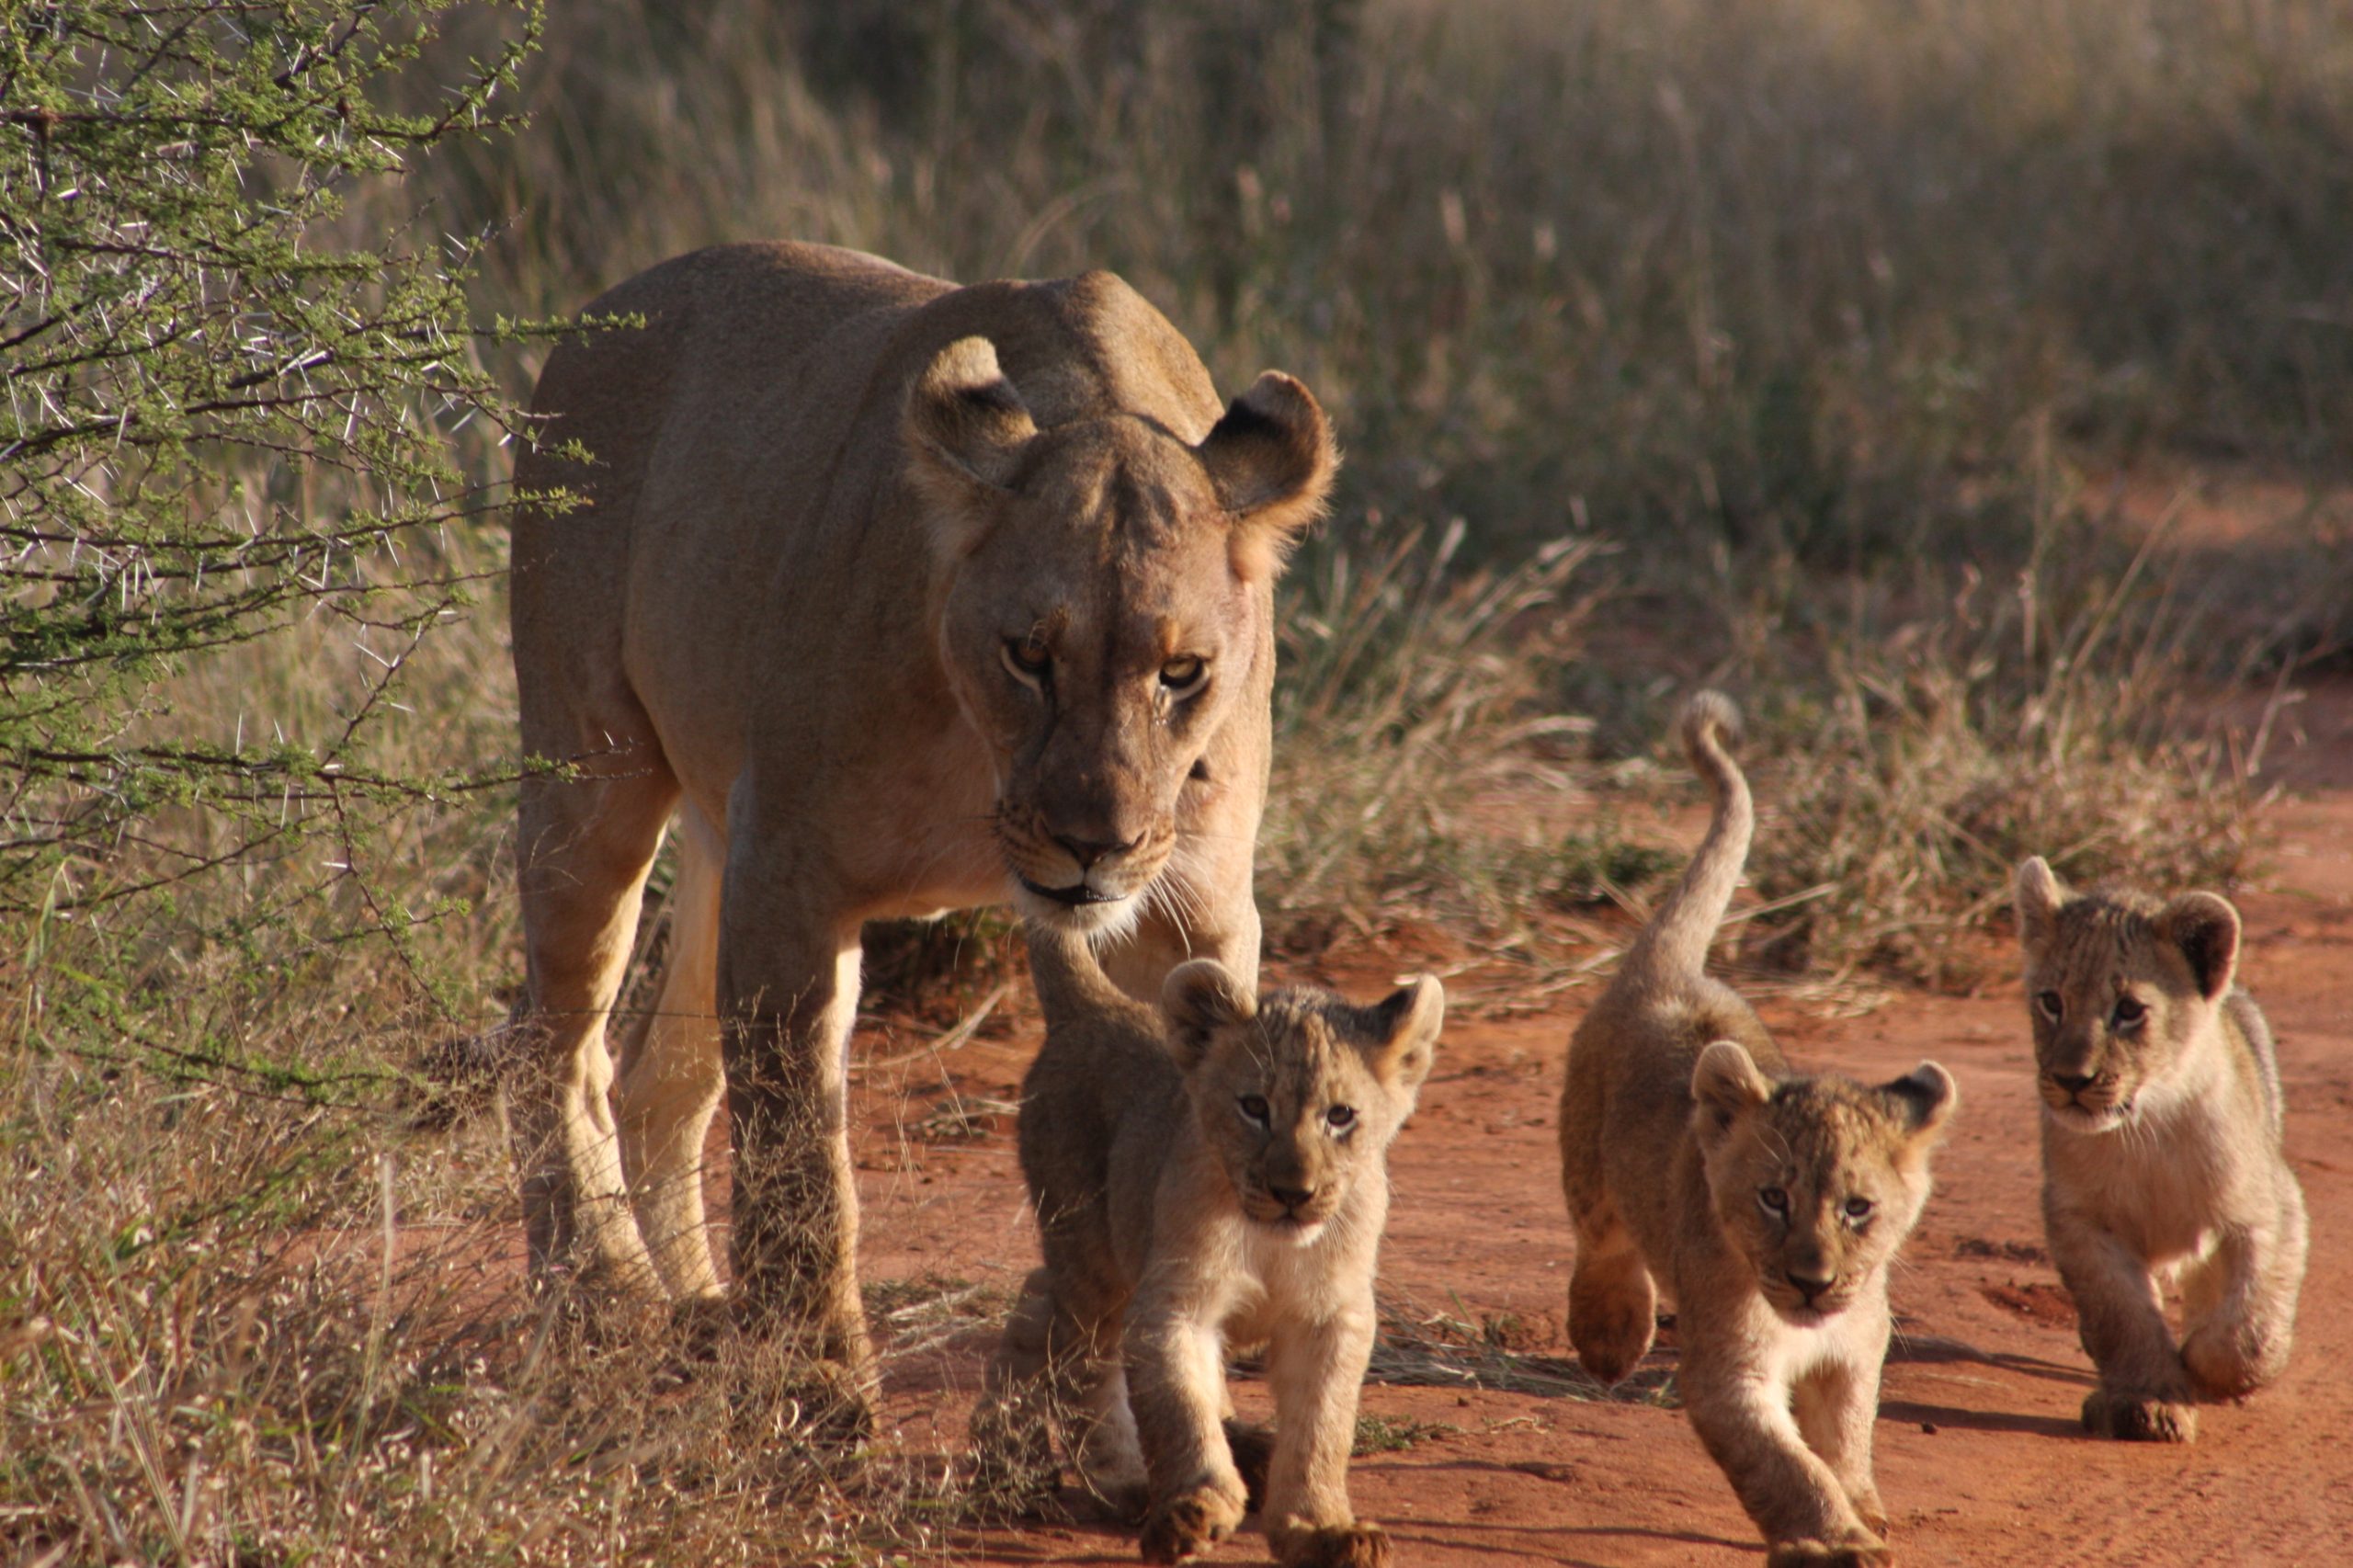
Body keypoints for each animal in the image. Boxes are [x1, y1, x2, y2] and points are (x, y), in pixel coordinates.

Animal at [503, 235, 1336, 1412]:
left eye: (1182, 672)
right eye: (1029, 653)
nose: (1093, 847)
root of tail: (606, 307)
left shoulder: (1192, 911)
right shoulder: (792, 878)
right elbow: (800, 1158)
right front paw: (816, 1385)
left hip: (715, 830)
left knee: (662, 1079)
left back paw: (695, 1309)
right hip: (592, 770)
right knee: (554, 1043)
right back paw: (598, 1298)